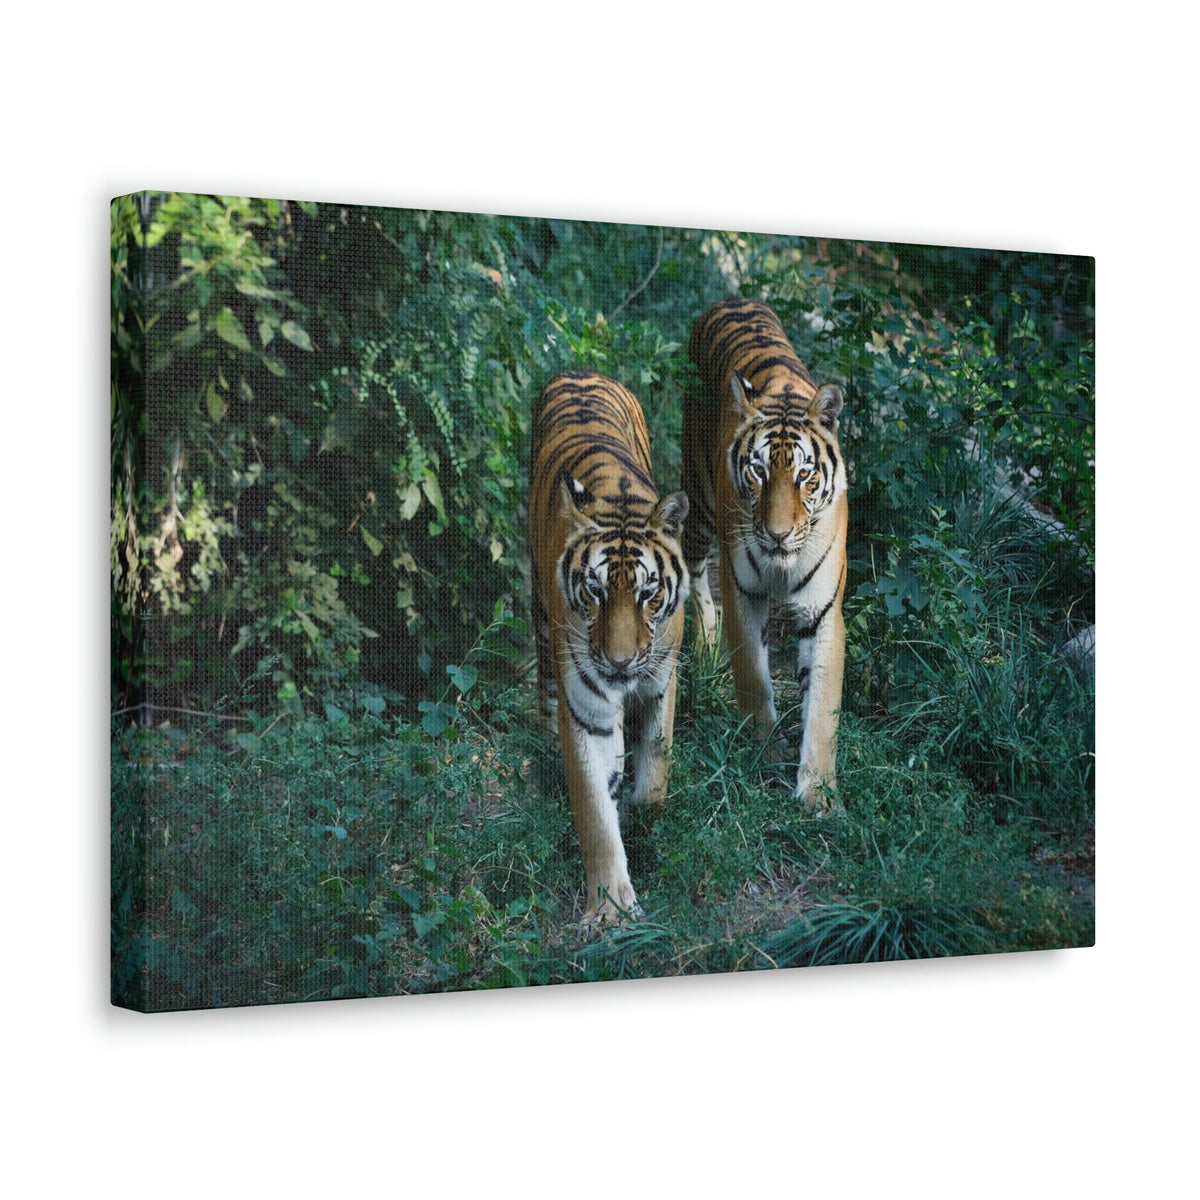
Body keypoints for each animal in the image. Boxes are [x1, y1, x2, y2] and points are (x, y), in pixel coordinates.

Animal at [529, 371, 690, 923]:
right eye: (595, 591)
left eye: (647, 593)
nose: (619, 662)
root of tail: (581, 372)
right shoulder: (585, 707)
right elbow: (595, 813)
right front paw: (610, 909)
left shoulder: (663, 678)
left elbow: (656, 770)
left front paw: (645, 820)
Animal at [681, 297, 847, 807]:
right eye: (758, 471)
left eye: (804, 475)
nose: (776, 535)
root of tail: (733, 298)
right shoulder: (743, 593)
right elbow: (754, 678)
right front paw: (765, 752)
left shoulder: (823, 610)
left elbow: (822, 706)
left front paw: (818, 792)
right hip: (700, 507)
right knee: (695, 573)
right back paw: (705, 643)